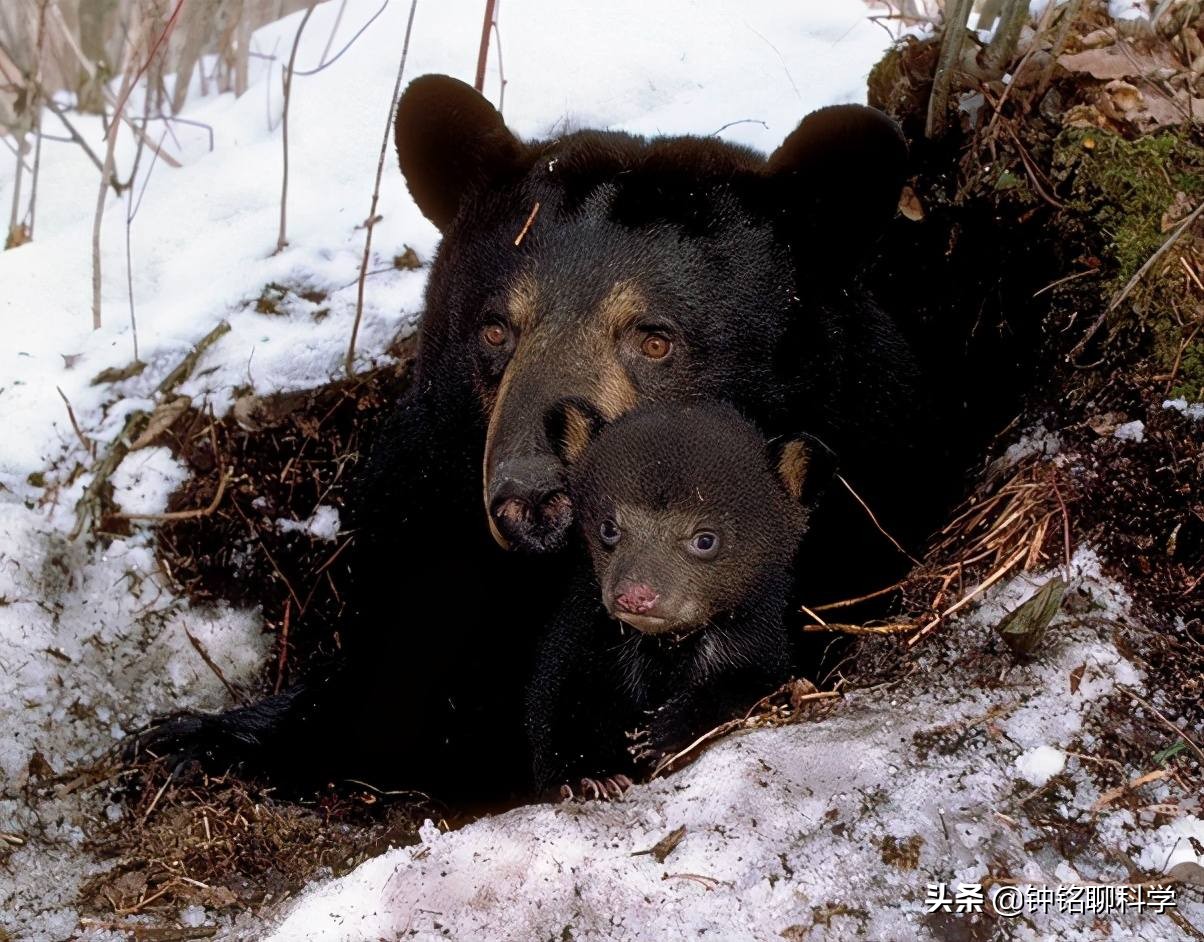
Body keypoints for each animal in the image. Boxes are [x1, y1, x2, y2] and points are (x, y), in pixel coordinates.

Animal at [136, 75, 934, 804]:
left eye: (654, 338)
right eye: (496, 329)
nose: (532, 497)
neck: (543, 586)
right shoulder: (428, 536)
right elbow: (373, 690)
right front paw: (188, 744)